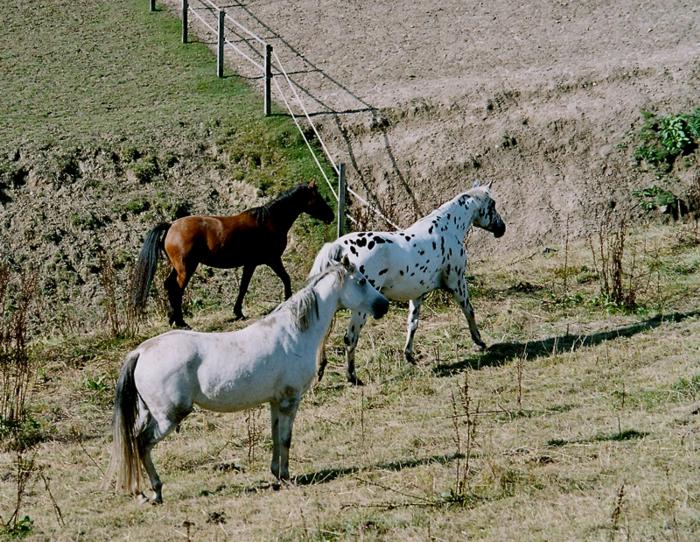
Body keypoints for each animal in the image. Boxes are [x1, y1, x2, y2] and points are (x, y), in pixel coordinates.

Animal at [104, 260, 392, 506]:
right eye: (361, 281)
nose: (384, 306)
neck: (294, 332)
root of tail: (141, 351)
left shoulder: (275, 402)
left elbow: (275, 437)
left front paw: (276, 475)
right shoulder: (290, 400)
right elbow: (286, 439)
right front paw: (286, 478)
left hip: (148, 413)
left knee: (133, 443)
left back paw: (141, 492)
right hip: (168, 417)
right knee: (142, 444)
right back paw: (155, 491)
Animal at [130, 183, 334, 328]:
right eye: (318, 198)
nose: (331, 216)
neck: (269, 221)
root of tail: (171, 225)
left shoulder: (250, 264)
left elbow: (243, 287)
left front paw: (238, 312)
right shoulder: (272, 260)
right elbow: (285, 278)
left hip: (178, 267)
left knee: (169, 285)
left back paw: (173, 318)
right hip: (186, 268)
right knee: (176, 289)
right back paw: (181, 322)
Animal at [308, 183, 506, 386]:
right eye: (492, 204)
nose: (501, 229)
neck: (447, 228)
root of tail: (338, 247)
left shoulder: (417, 294)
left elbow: (413, 323)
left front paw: (409, 356)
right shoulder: (457, 283)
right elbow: (469, 311)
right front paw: (479, 342)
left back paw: (321, 370)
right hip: (360, 310)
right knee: (350, 338)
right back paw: (353, 377)